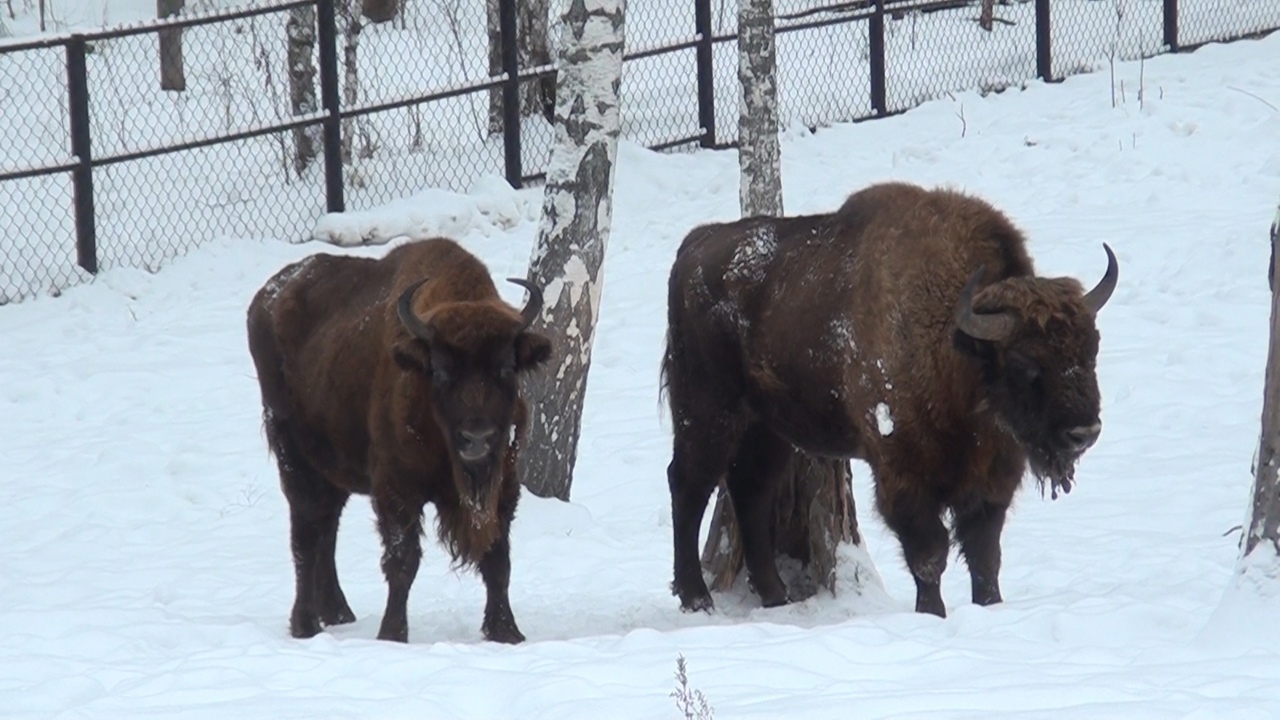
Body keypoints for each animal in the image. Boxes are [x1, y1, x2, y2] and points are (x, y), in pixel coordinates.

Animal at [246, 237, 552, 643]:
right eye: (440, 371)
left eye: (506, 367)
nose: (477, 438)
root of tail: (265, 298)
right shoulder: (396, 488)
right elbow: (403, 560)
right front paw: (392, 634)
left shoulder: (503, 486)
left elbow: (498, 559)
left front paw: (507, 632)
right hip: (293, 456)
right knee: (306, 534)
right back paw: (306, 624)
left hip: (331, 469)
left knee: (327, 527)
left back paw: (337, 613)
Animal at [661, 182, 1118, 617]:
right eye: (1024, 361)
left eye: (1092, 347)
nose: (1084, 431)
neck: (954, 344)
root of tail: (693, 247)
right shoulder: (903, 471)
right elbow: (929, 554)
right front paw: (931, 613)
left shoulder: (992, 479)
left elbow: (984, 555)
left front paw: (989, 605)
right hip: (707, 413)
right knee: (688, 484)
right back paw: (696, 598)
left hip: (768, 428)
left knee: (750, 491)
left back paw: (776, 596)